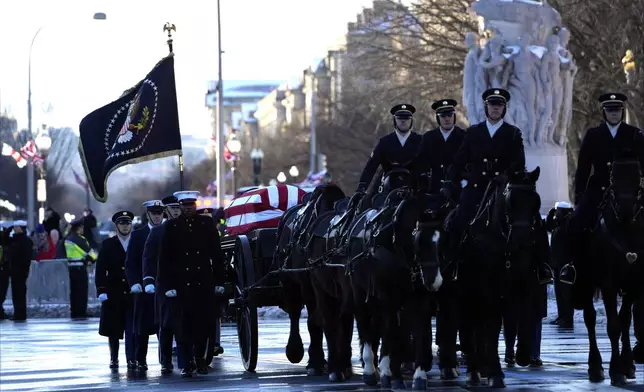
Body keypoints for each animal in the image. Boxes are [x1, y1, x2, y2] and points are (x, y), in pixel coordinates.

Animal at [270, 184, 344, 374]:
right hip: (290, 282)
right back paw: (294, 349)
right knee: (295, 313)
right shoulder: (308, 285)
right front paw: (315, 361)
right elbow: (314, 321)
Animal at [446, 167, 544, 388]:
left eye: (536, 202)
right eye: (511, 202)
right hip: (462, 294)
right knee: (466, 325)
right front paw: (495, 373)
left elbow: (525, 315)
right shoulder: (488, 289)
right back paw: (470, 369)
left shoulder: (524, 283)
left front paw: (523, 354)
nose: (523, 241)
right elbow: (492, 327)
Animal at [572, 157, 644, 386]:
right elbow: (613, 325)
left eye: (638, 176)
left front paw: (626, 365)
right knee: (590, 318)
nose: (626, 213)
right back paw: (595, 366)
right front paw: (616, 371)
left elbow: (625, 321)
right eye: (613, 177)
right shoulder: (608, 283)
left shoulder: (634, 284)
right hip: (585, 282)